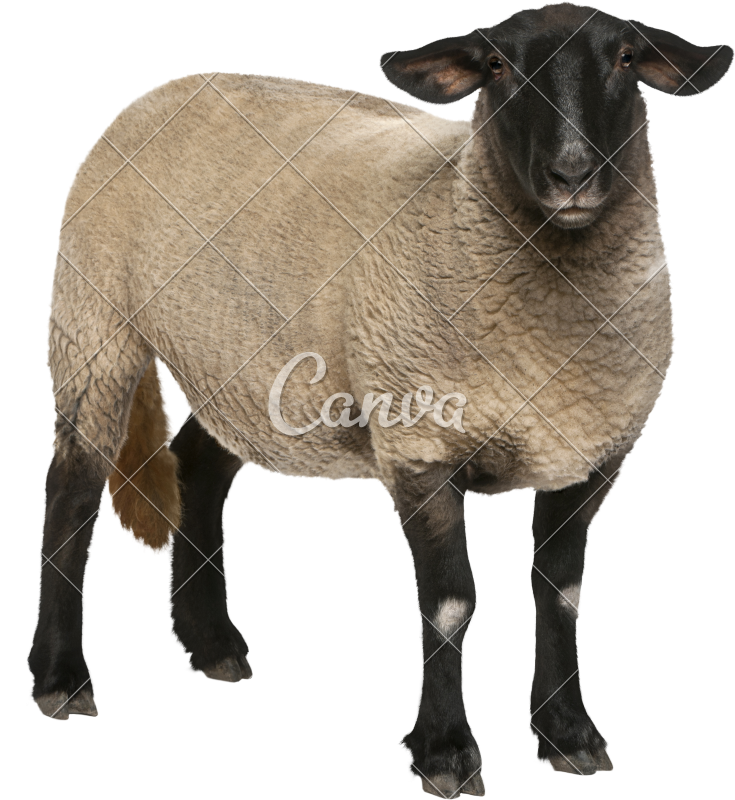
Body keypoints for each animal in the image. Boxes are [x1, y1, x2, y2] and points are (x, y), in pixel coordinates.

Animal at [31, 0, 731, 792]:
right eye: (498, 68)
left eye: (625, 58)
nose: (573, 172)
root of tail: (162, 91)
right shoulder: (419, 444)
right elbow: (453, 603)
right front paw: (446, 753)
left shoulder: (590, 455)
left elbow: (561, 594)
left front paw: (568, 734)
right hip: (96, 324)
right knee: (72, 491)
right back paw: (59, 679)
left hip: (240, 365)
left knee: (197, 469)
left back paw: (212, 644)